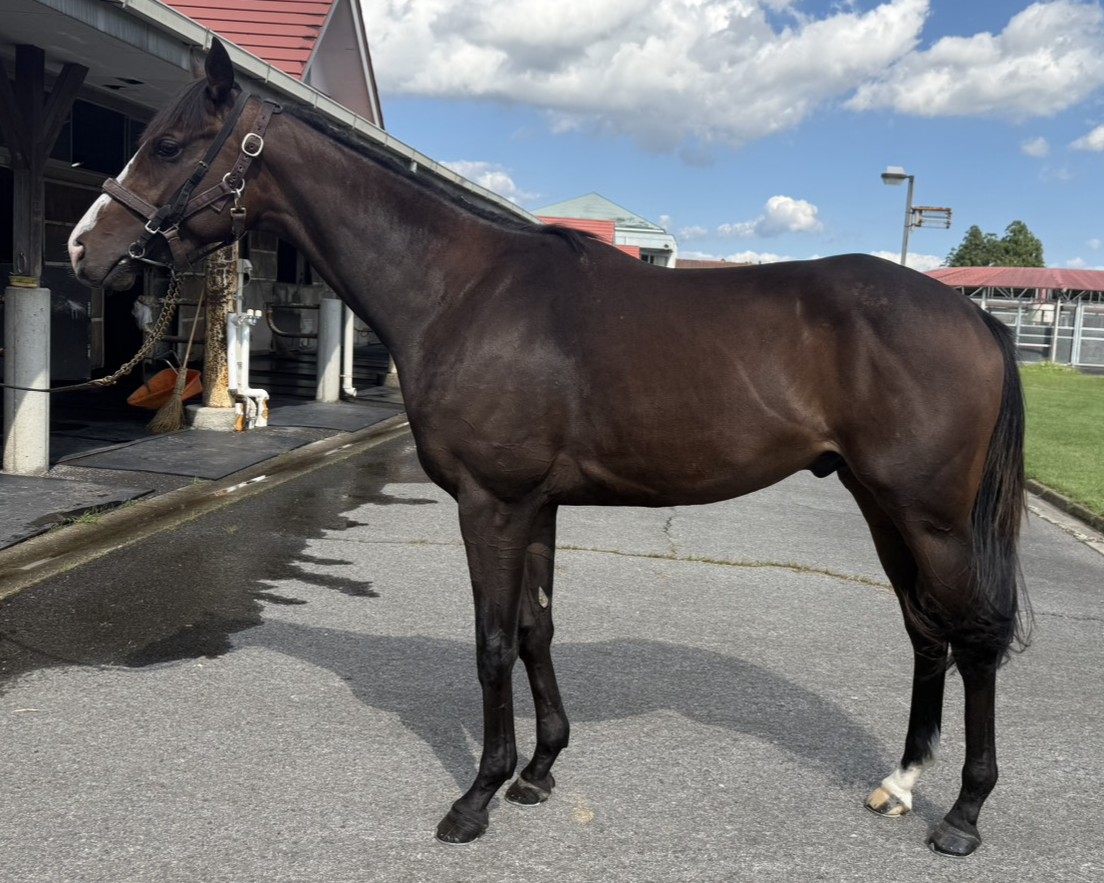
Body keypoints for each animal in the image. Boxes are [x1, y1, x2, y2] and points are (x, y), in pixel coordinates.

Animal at [68, 39, 1029, 857]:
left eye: (168, 144)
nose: (84, 248)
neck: (461, 290)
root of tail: (975, 315)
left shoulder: (490, 504)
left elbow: (494, 640)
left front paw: (476, 797)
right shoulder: (535, 505)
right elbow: (536, 627)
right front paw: (538, 769)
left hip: (930, 517)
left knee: (975, 635)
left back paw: (964, 814)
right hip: (882, 504)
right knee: (926, 632)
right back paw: (900, 782)